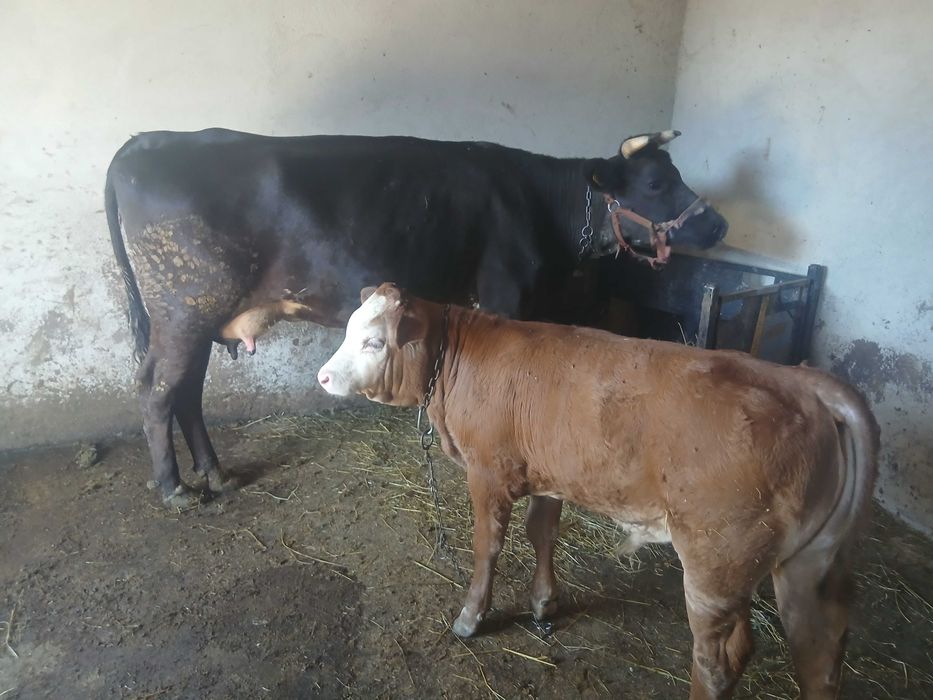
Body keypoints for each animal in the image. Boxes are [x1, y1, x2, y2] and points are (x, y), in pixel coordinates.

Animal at [106, 128, 728, 507]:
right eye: (656, 182)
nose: (719, 225)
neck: (539, 206)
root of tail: (149, 140)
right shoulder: (504, 294)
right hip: (184, 307)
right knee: (157, 389)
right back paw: (175, 488)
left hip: (195, 315)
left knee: (186, 391)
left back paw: (213, 472)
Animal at [317, 283, 879, 700]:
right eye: (348, 330)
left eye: (374, 342)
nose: (322, 377)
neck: (455, 360)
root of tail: (805, 383)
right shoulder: (548, 472)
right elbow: (541, 533)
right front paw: (544, 604)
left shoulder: (489, 472)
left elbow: (488, 547)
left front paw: (471, 617)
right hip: (810, 563)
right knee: (821, 651)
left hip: (718, 562)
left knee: (721, 659)